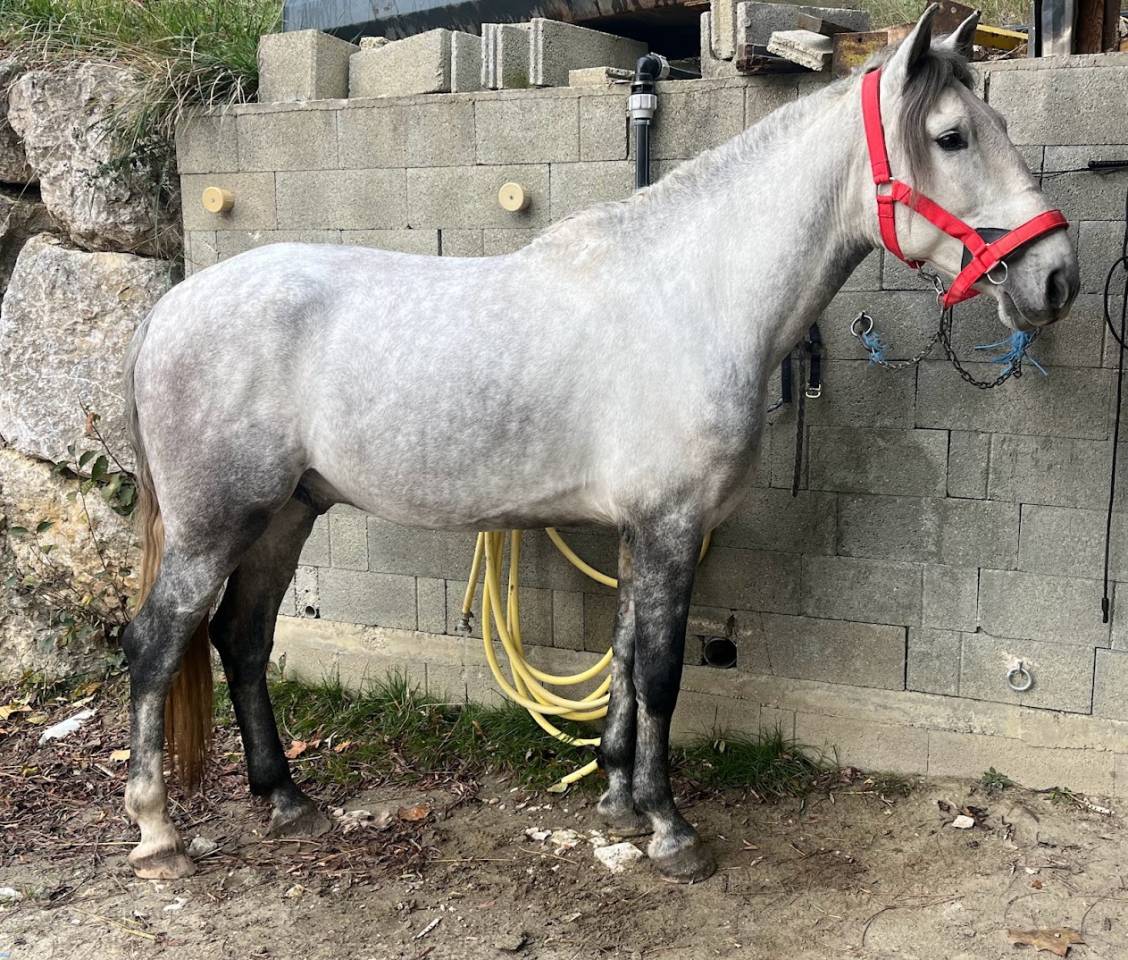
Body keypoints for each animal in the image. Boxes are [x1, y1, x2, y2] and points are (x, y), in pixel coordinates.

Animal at [119, 4, 1078, 884]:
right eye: (952, 136)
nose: (1056, 278)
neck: (692, 294)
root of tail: (167, 310)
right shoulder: (670, 527)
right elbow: (660, 673)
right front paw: (671, 829)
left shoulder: (638, 531)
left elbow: (620, 661)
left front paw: (618, 798)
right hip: (216, 527)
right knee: (155, 644)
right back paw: (159, 832)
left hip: (285, 515)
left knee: (242, 639)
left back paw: (288, 800)